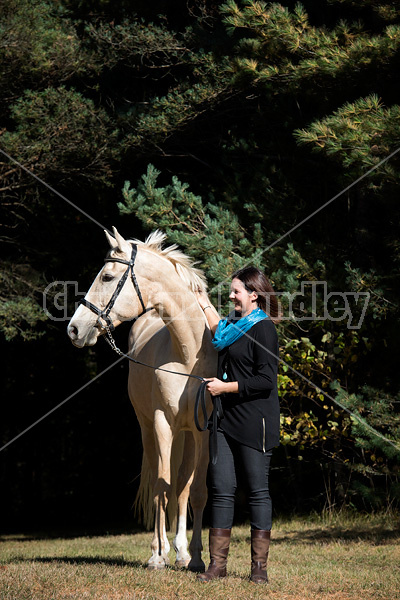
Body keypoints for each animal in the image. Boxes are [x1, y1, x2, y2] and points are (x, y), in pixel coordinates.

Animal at [66, 227, 216, 568]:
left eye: (107, 277)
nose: (74, 329)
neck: (188, 353)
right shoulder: (161, 424)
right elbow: (161, 487)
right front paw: (158, 557)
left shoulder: (202, 430)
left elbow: (195, 491)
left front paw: (196, 559)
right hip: (148, 429)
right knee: (163, 485)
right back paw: (161, 549)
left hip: (186, 435)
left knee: (182, 487)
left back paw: (182, 552)